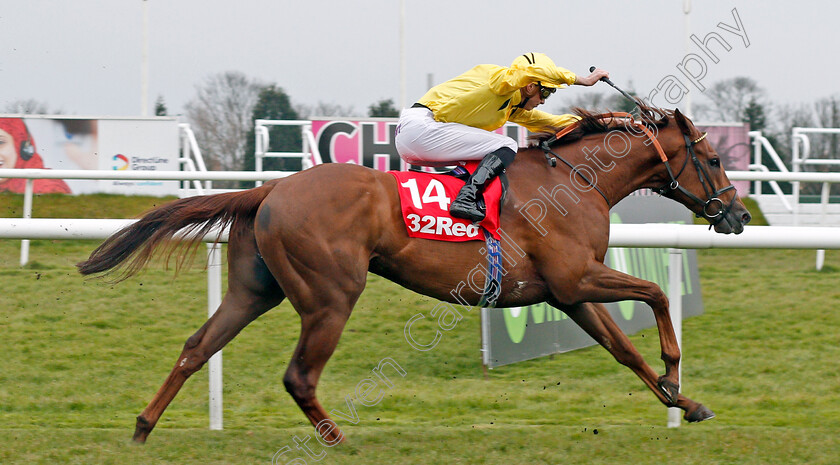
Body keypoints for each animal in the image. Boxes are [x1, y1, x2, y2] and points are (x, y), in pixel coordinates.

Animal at [77, 104, 748, 442]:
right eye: (715, 158)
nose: (738, 215)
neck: (577, 180)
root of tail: (271, 187)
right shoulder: (576, 277)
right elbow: (657, 293)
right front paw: (674, 369)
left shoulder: (567, 292)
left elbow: (623, 350)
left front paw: (684, 401)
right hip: (331, 295)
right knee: (299, 376)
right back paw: (339, 443)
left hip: (254, 291)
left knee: (196, 347)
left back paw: (142, 429)